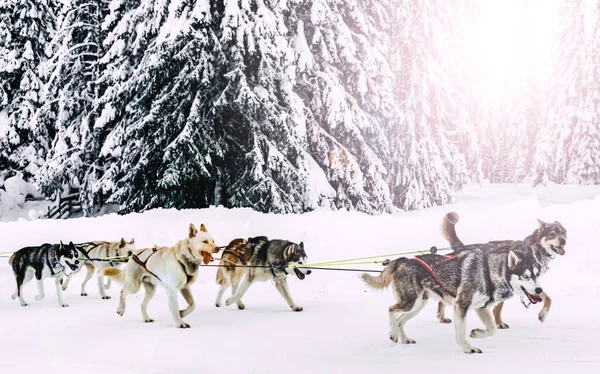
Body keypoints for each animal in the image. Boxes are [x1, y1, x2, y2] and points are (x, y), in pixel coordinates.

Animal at [360, 245, 544, 354]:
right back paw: (393, 334)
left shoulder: (481, 308)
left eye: (537, 274)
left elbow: (492, 329)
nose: (539, 290)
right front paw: (468, 348)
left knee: (400, 321)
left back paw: (404, 338)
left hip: (418, 305)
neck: (489, 273)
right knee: (391, 310)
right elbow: (461, 333)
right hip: (410, 302)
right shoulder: (461, 305)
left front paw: (477, 334)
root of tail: (403, 260)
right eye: (525, 276)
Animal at [436, 212, 568, 328]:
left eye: (563, 233)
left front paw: (542, 314)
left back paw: (441, 316)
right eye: (552, 233)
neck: (535, 250)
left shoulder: (531, 283)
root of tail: (461, 247)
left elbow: (547, 298)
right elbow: (498, 307)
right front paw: (499, 323)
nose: (563, 241)